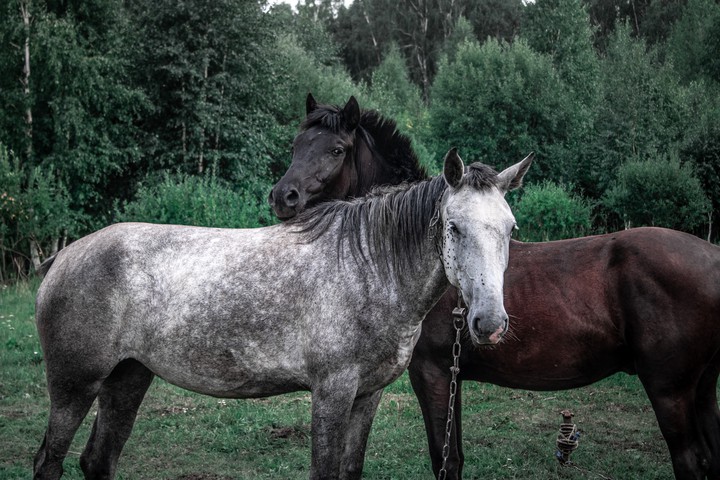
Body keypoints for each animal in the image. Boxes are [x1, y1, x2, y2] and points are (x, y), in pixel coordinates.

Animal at [32, 148, 532, 480]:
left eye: (510, 229)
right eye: (454, 227)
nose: (489, 323)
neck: (367, 267)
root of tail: (64, 256)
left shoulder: (366, 397)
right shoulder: (331, 393)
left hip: (128, 378)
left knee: (97, 461)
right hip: (75, 387)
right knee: (49, 461)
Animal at [269, 94, 720, 480]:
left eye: (336, 149)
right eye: (296, 145)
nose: (283, 197)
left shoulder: (432, 373)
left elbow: (446, 459)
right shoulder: (451, 377)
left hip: (670, 391)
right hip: (701, 389)